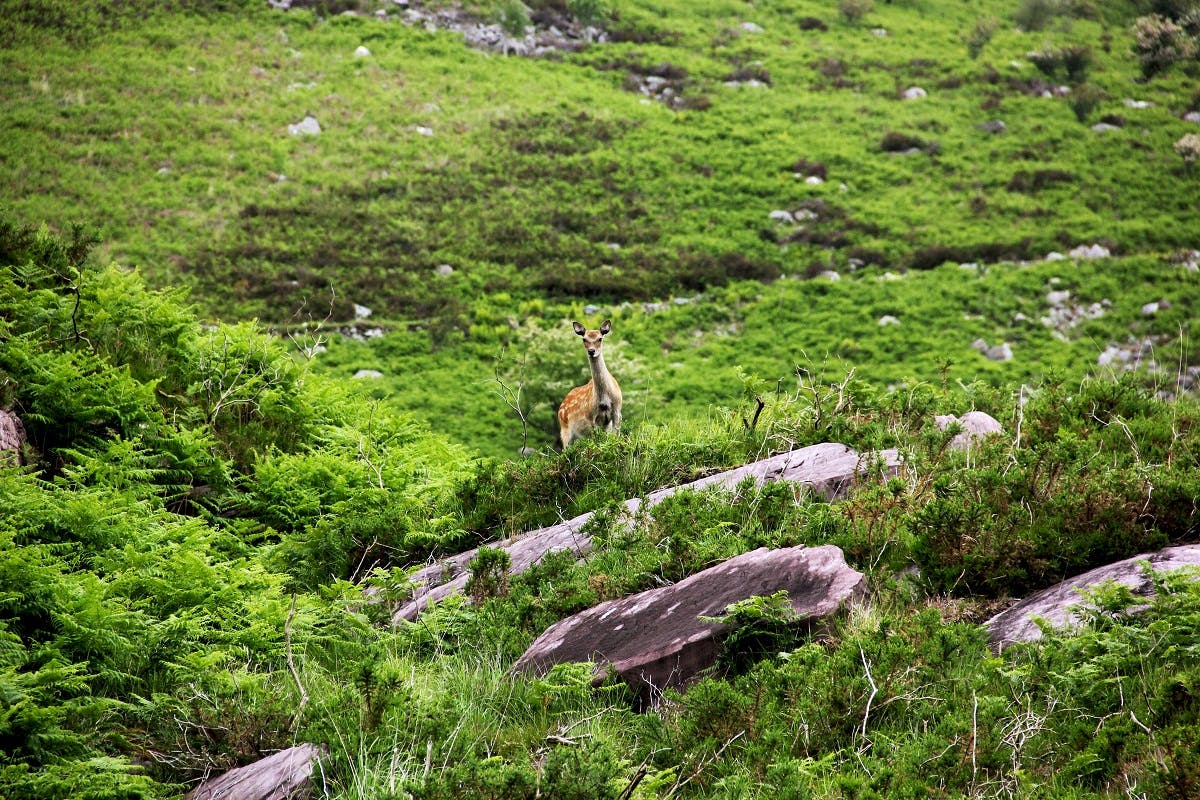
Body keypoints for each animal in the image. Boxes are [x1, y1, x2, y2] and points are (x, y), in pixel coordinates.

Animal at [556, 321, 624, 450]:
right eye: (584, 339)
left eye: (600, 338)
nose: (591, 351)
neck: (604, 398)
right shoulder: (591, 417)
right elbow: (597, 442)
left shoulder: (617, 411)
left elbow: (614, 437)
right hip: (565, 430)